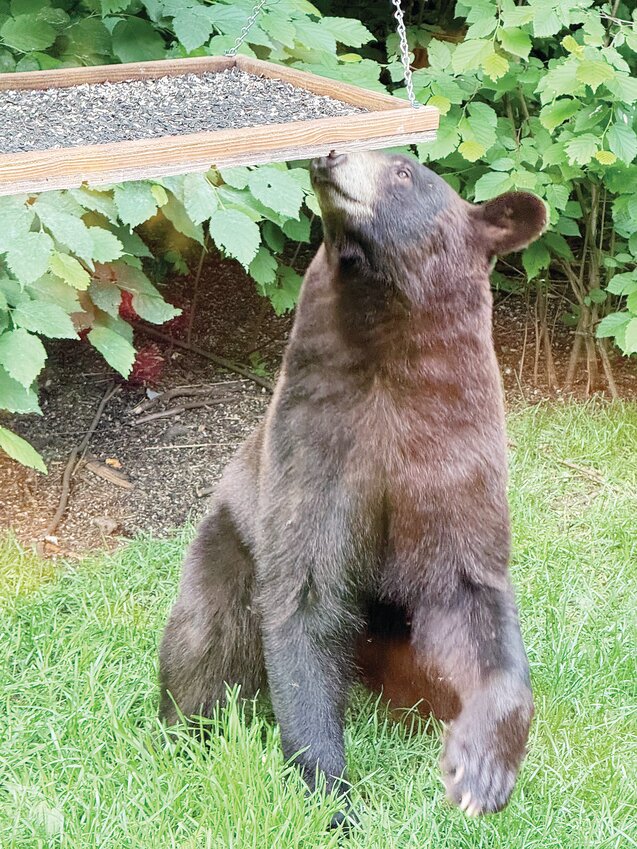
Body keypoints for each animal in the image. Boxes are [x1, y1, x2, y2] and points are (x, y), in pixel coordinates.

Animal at [159, 149, 547, 822]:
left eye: (406, 173)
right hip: (225, 546)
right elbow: (304, 598)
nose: (330, 153)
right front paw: (332, 796)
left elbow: (475, 600)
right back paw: (183, 731)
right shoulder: (314, 446)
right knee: (203, 640)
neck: (386, 341)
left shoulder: (453, 454)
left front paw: (478, 771)